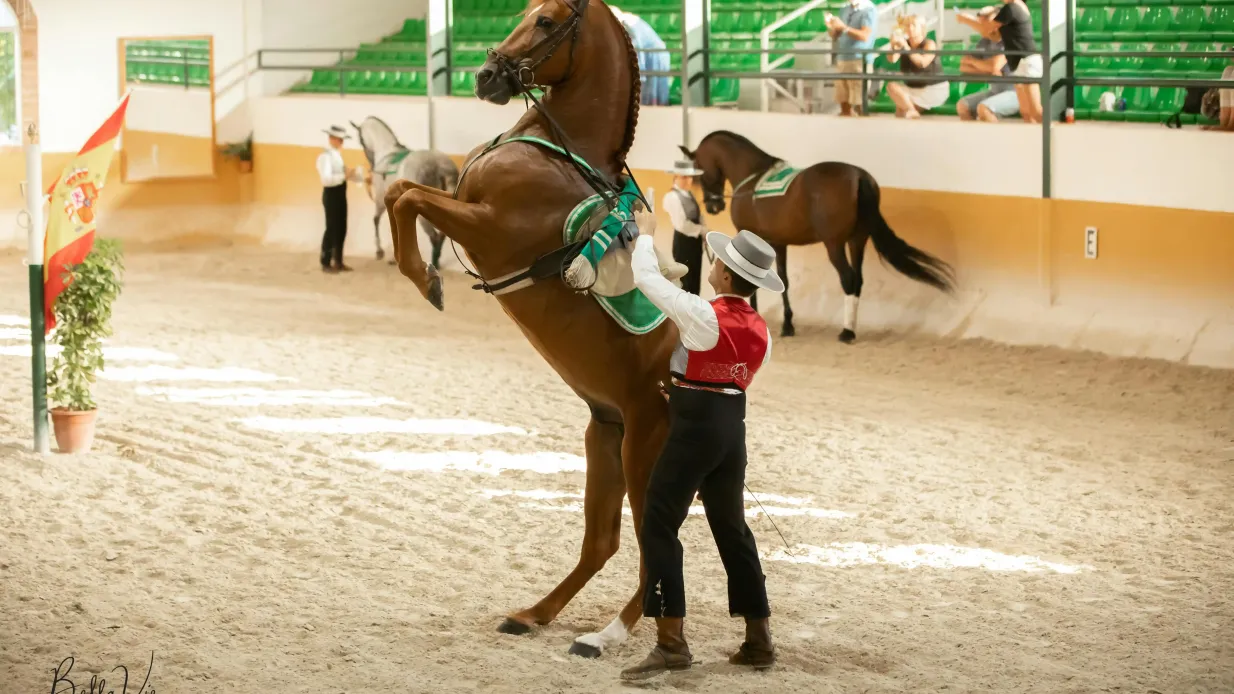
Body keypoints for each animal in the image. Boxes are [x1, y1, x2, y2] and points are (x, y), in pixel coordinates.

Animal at [351, 116, 459, 266]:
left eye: (361, 139)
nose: (371, 164)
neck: (387, 154)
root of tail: (440, 166)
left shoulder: (381, 200)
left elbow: (376, 220)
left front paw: (380, 251)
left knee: (434, 237)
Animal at [383, 0, 672, 659]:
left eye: (548, 20)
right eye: (523, 11)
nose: (486, 76)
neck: (557, 152)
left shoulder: (489, 226)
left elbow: (407, 197)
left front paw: (424, 280)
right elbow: (399, 189)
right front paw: (422, 275)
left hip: (644, 448)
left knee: (655, 550)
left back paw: (605, 635)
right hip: (606, 437)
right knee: (603, 542)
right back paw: (533, 614)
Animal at [679, 131, 955, 343]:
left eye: (700, 172)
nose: (713, 206)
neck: (751, 177)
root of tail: (859, 176)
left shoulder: (752, 237)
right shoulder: (778, 243)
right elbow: (784, 280)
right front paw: (788, 325)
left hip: (834, 244)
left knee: (848, 278)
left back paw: (847, 332)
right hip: (857, 240)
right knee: (858, 279)